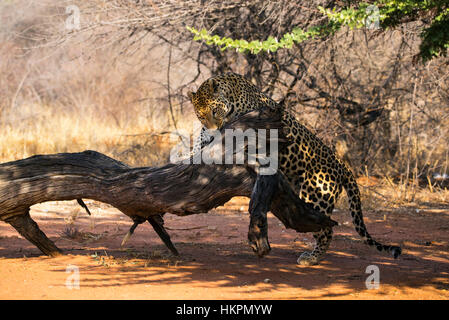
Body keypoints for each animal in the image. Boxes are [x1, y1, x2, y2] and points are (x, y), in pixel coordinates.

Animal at [187, 72, 400, 264]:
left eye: (214, 111)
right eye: (201, 116)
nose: (214, 129)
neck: (232, 96)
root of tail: (342, 165)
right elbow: (201, 139)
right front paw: (193, 154)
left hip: (317, 198)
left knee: (326, 230)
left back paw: (312, 258)